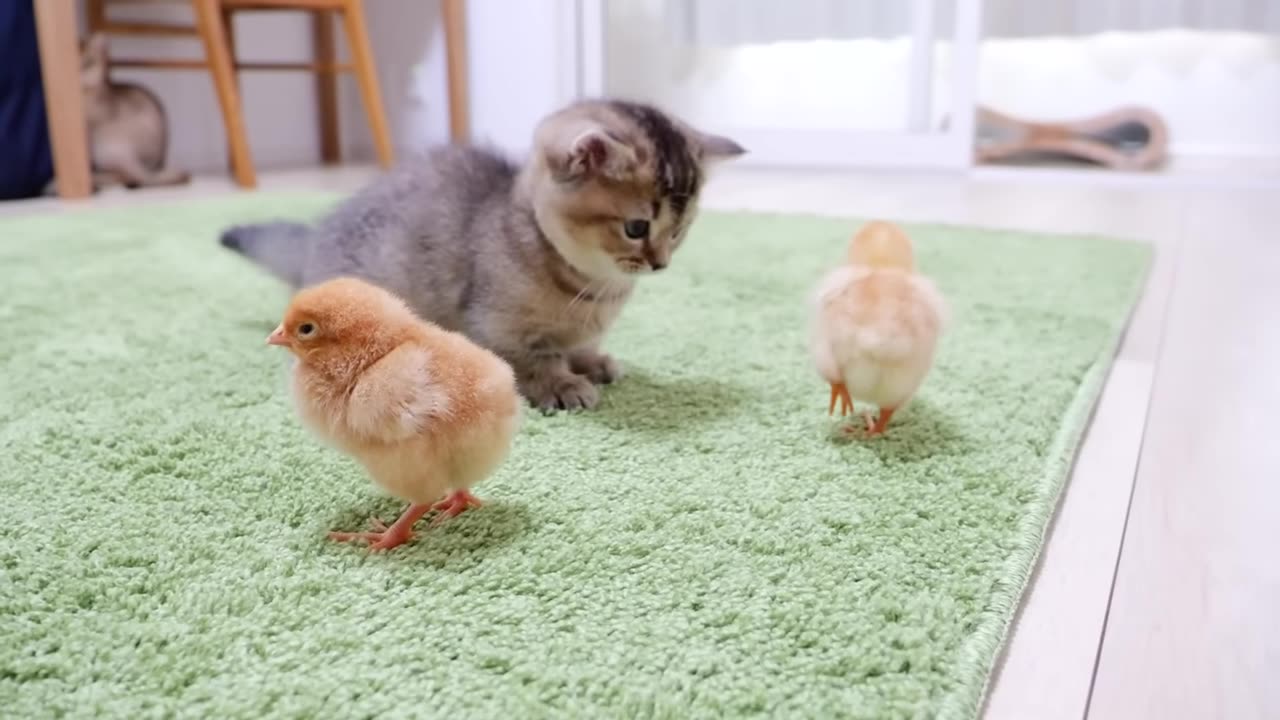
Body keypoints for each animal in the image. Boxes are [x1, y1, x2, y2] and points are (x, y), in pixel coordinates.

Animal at [217, 97, 742, 409]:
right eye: (636, 228)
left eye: (680, 230)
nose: (660, 263)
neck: (591, 289)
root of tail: (314, 242)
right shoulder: (497, 328)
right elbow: (532, 360)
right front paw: (562, 384)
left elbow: (579, 345)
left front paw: (591, 361)